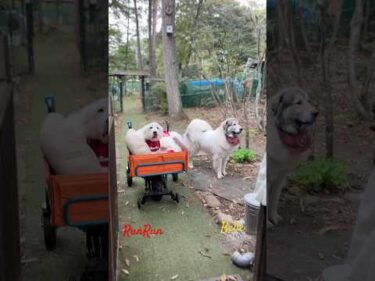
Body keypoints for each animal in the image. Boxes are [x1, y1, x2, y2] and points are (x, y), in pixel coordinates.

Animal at [268, 86, 318, 224]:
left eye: (308, 101)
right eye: (298, 103)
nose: (316, 113)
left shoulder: (280, 177)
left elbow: (273, 199)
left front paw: (273, 218)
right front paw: (267, 223)